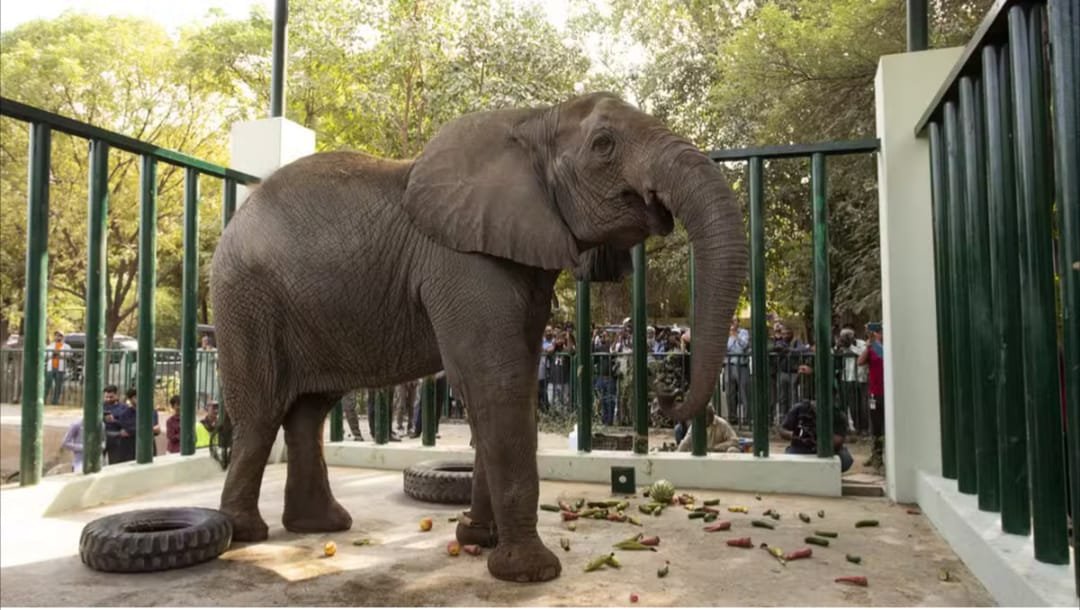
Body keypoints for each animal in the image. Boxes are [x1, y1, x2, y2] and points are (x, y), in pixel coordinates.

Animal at [209, 92, 747, 583]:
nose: (666, 393)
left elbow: (513, 386)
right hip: (246, 300)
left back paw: (320, 526)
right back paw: (244, 533)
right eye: (603, 145)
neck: (535, 121)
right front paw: (529, 572)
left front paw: (477, 538)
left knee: (309, 412)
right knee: (261, 414)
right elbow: (496, 383)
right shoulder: (462, 262)